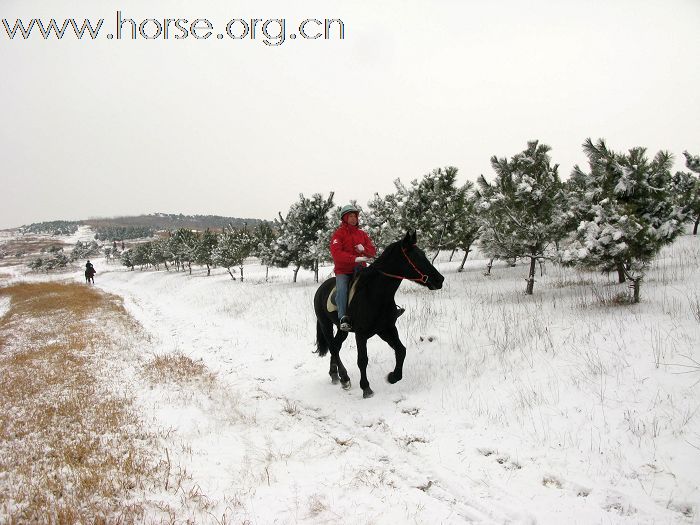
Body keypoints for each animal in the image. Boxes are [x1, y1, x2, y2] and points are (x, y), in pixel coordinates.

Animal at [316, 230, 446, 398]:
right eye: (415, 257)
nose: (439, 280)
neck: (375, 295)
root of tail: (320, 289)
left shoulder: (386, 329)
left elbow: (401, 350)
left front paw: (393, 377)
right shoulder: (361, 334)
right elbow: (362, 360)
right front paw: (366, 388)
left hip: (341, 329)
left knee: (336, 347)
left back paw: (334, 375)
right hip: (325, 324)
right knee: (333, 347)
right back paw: (344, 378)